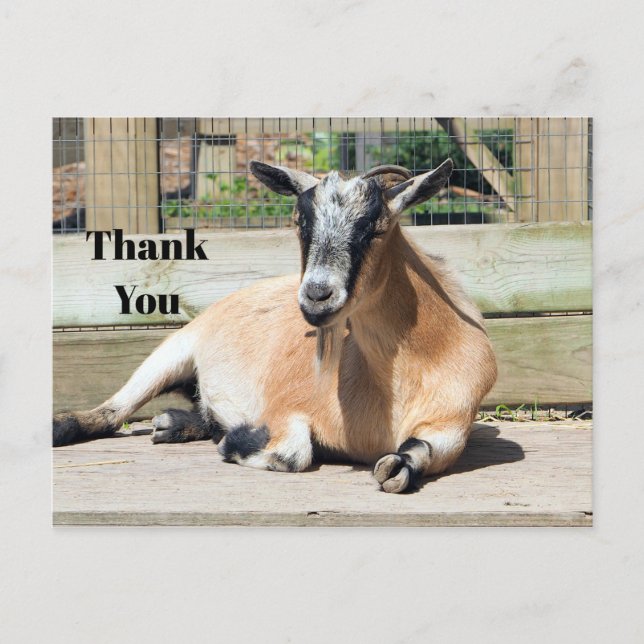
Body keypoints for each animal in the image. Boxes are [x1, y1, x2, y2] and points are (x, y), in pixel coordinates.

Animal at [53, 159, 497, 493]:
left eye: (377, 228)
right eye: (300, 223)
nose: (317, 295)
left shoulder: (453, 420)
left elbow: (414, 456)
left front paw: (397, 468)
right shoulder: (283, 406)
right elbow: (292, 452)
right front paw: (236, 439)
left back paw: (174, 424)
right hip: (174, 350)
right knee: (112, 412)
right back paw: (64, 426)